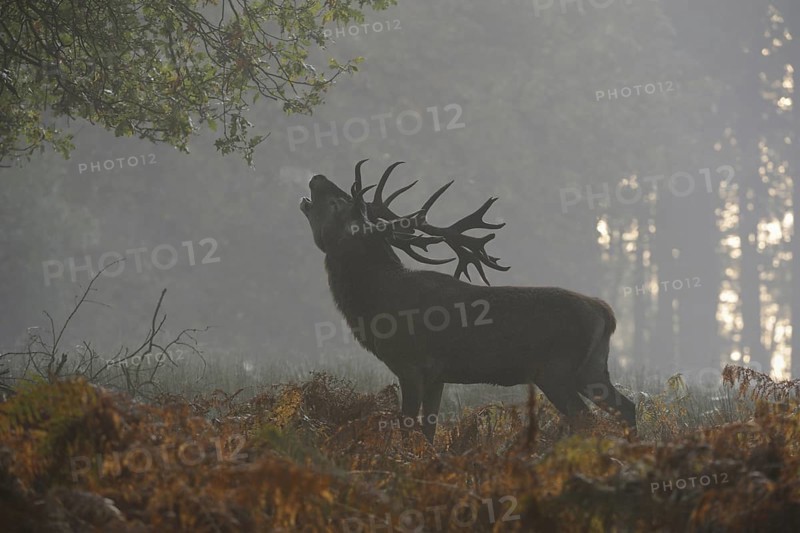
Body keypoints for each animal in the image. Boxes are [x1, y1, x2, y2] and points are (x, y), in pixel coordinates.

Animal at [299, 160, 637, 443]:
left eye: (338, 203)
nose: (317, 177)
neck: (375, 305)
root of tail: (606, 313)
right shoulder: (436, 375)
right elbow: (429, 430)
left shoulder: (410, 364)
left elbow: (408, 425)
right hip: (592, 368)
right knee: (628, 406)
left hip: (557, 369)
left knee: (586, 418)